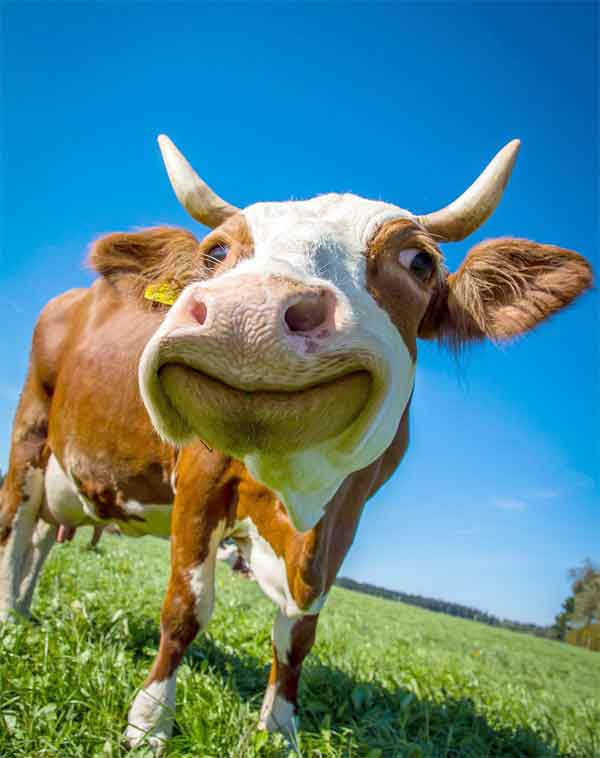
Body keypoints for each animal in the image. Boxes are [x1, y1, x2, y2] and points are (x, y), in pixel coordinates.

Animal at [0, 137, 592, 756]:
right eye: (216, 252)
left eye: (419, 262)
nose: (248, 314)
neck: (295, 491)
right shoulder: (199, 481)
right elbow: (186, 608)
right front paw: (149, 722)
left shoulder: (345, 515)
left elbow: (299, 632)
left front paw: (280, 727)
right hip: (29, 432)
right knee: (16, 527)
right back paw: (10, 619)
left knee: (41, 537)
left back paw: (25, 608)